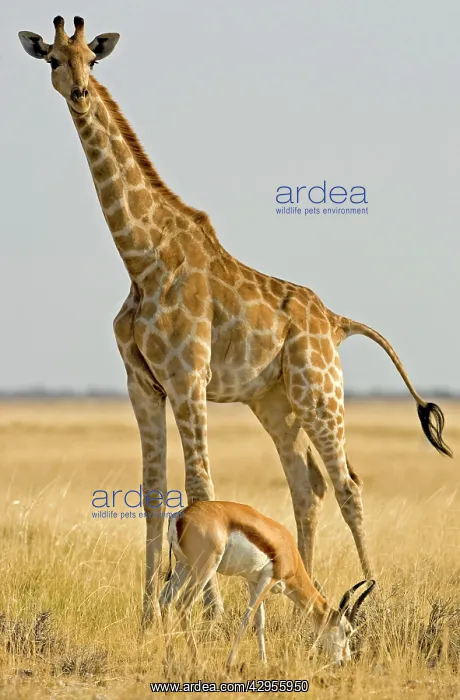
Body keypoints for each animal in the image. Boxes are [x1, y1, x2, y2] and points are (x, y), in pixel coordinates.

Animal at [19, 16, 452, 625]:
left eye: (93, 59)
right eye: (54, 59)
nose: (79, 92)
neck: (142, 258)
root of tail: (336, 321)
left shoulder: (187, 377)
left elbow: (200, 486)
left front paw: (208, 612)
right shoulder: (142, 384)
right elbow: (153, 493)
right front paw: (151, 612)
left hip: (320, 390)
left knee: (347, 482)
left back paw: (368, 597)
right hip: (275, 402)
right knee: (307, 483)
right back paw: (302, 597)